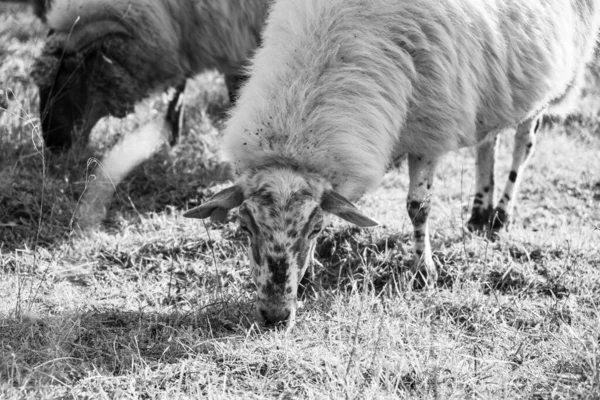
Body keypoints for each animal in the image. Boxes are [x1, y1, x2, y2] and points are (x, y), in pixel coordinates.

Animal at [184, 0, 600, 328]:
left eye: (315, 228)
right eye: (244, 226)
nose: (274, 317)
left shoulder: (430, 131)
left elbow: (419, 208)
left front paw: (423, 273)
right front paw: (308, 277)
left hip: (549, 80)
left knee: (522, 145)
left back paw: (500, 216)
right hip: (492, 89)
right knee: (487, 144)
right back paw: (478, 214)